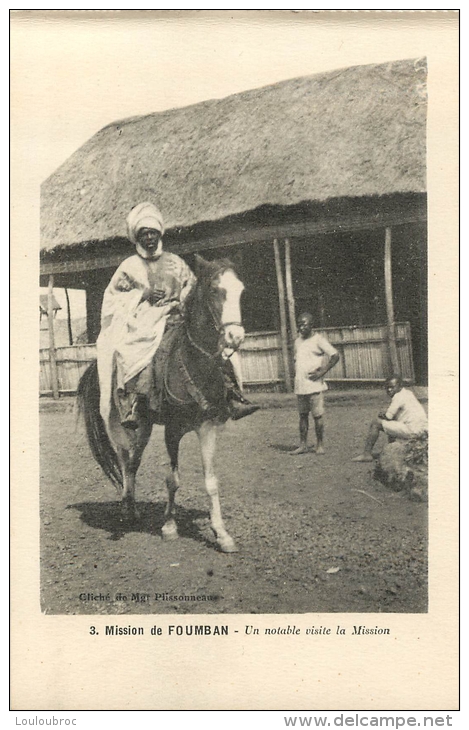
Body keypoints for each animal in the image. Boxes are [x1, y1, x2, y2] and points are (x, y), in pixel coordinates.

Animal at [77, 253, 245, 548]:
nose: (235, 337)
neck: (193, 362)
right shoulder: (172, 430)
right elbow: (172, 479)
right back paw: (127, 507)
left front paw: (221, 534)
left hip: (144, 426)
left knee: (133, 464)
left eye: (241, 291)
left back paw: (132, 508)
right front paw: (169, 526)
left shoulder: (208, 426)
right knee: (125, 462)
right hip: (122, 425)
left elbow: (211, 481)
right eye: (215, 291)